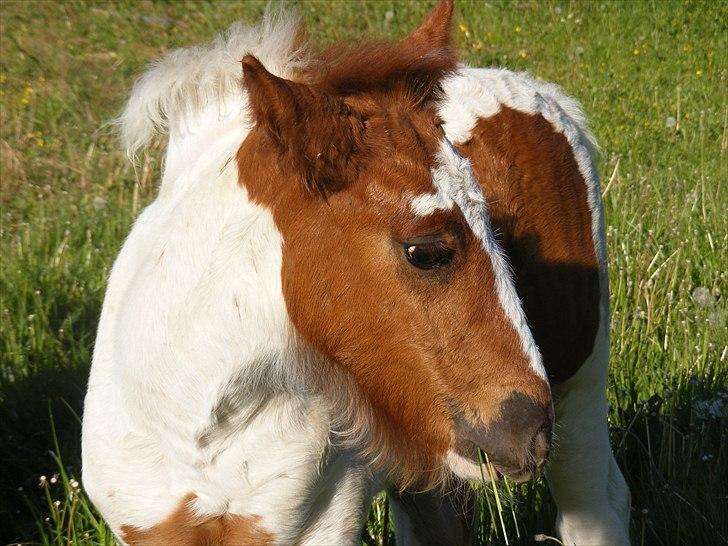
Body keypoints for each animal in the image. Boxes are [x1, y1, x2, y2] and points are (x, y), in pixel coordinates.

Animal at [82, 2, 632, 540]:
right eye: (425, 252)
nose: (527, 430)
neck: (199, 424)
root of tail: (529, 87)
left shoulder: (321, 521)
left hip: (579, 382)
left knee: (594, 509)